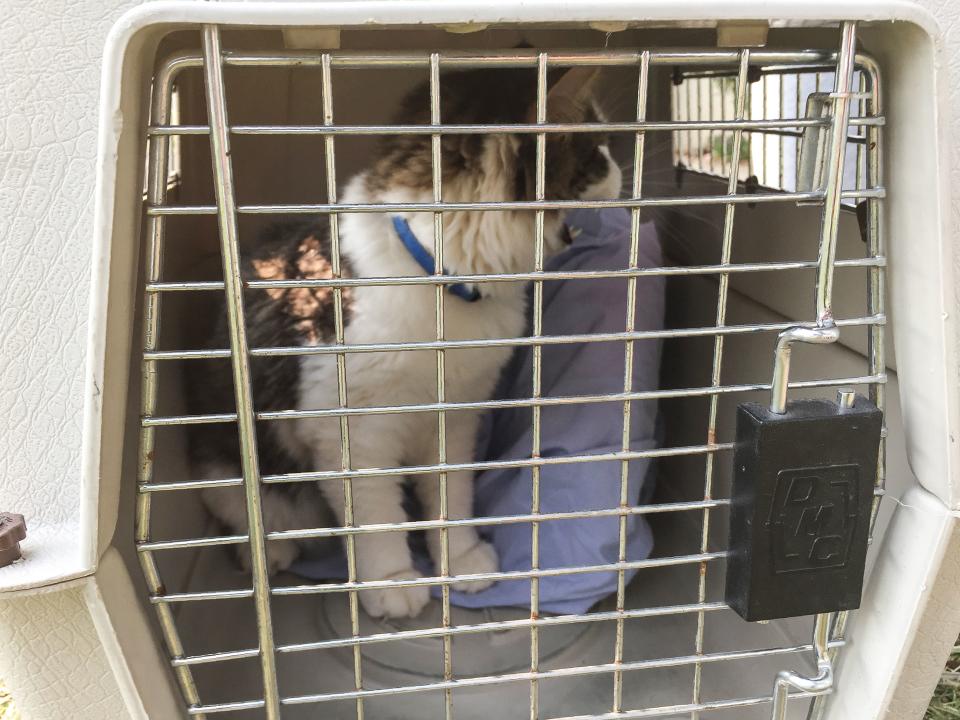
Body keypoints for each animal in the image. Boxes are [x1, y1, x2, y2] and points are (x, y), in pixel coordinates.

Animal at [188, 66, 624, 620]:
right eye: (596, 151)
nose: (622, 168)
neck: (442, 283)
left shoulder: (455, 416)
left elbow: (450, 495)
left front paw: (460, 559)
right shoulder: (351, 431)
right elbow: (376, 514)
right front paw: (393, 580)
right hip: (223, 464)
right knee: (253, 517)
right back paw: (267, 555)